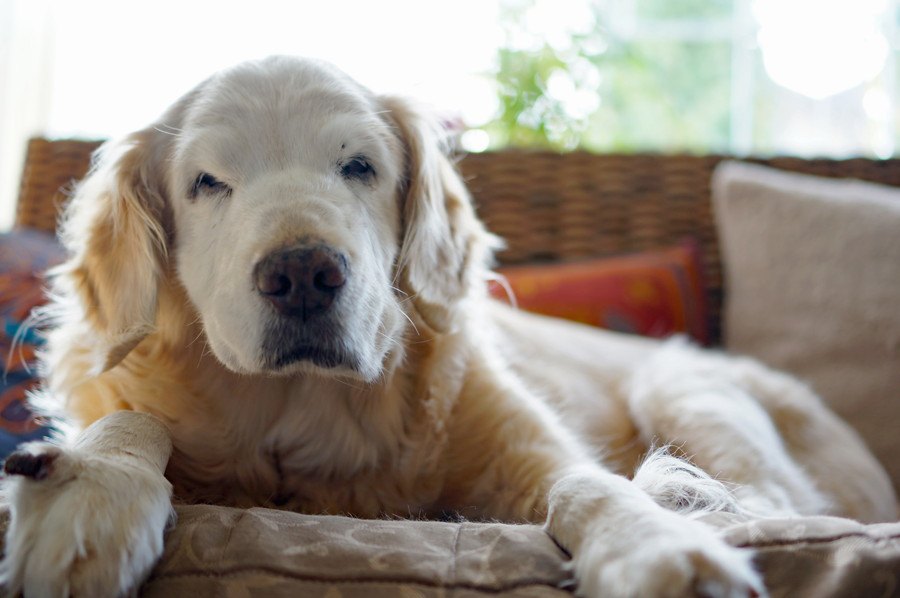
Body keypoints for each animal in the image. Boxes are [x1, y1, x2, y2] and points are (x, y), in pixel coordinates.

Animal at [3, 57, 896, 598]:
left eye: (359, 166)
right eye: (207, 182)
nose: (303, 275)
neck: (300, 414)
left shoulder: (529, 447)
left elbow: (587, 483)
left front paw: (654, 546)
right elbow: (132, 422)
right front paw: (90, 491)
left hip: (682, 382)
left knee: (769, 496)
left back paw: (682, 492)